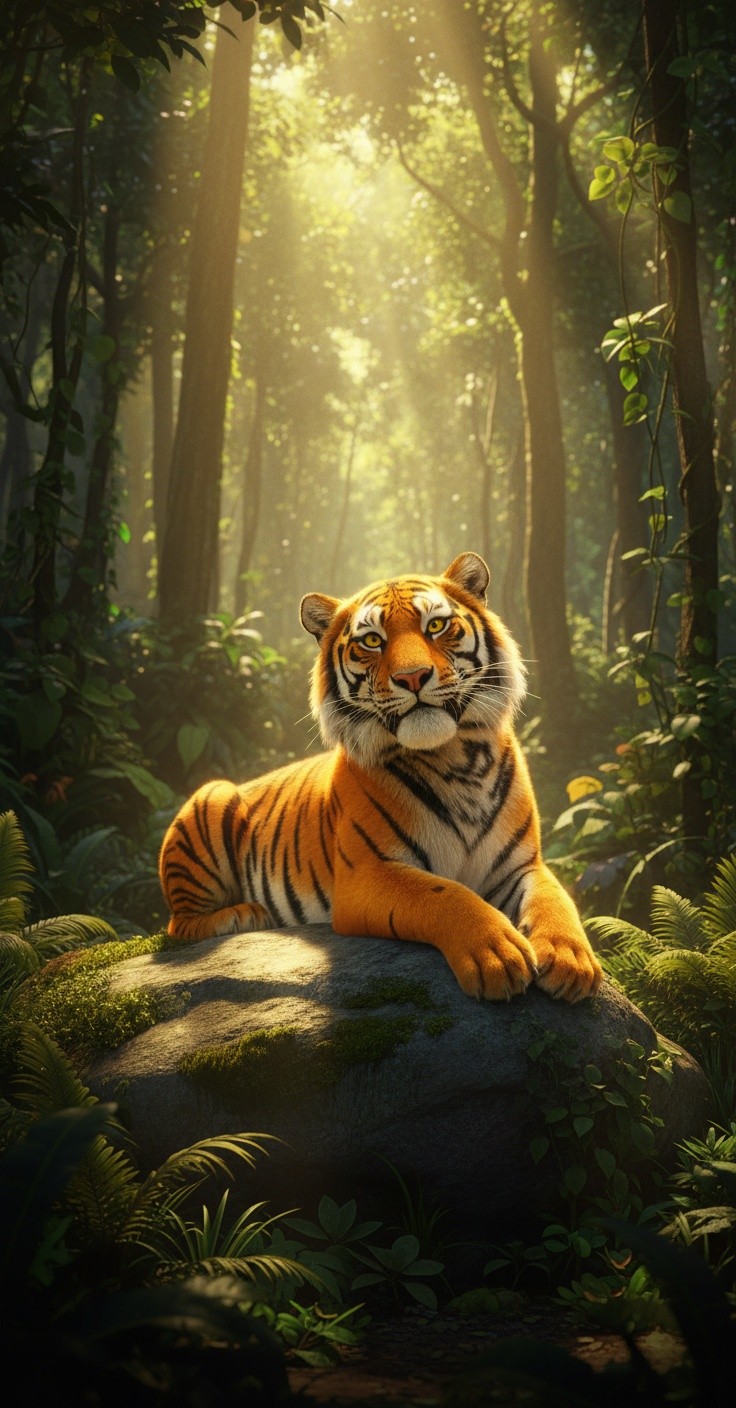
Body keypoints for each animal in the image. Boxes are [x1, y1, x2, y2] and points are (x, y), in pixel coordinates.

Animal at [159, 553, 602, 1004]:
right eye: (372, 640)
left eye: (435, 626)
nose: (412, 676)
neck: (456, 759)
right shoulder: (366, 875)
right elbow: (444, 894)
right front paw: (497, 954)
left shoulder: (522, 866)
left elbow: (555, 901)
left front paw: (571, 959)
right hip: (213, 795)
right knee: (179, 925)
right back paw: (246, 915)